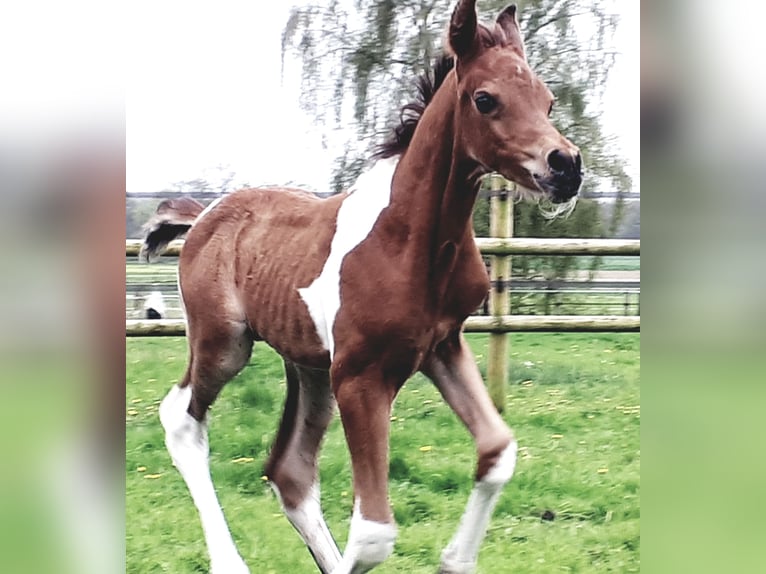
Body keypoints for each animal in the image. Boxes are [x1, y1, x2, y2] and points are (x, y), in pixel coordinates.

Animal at [140, 2, 584, 572]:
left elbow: (497, 452)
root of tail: (203, 216)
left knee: (289, 469)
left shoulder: (441, 346)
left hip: (310, 367)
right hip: (226, 343)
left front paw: (454, 560)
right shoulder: (360, 378)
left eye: (548, 100)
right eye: (485, 99)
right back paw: (229, 561)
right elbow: (374, 531)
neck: (411, 239)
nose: (566, 166)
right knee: (182, 419)